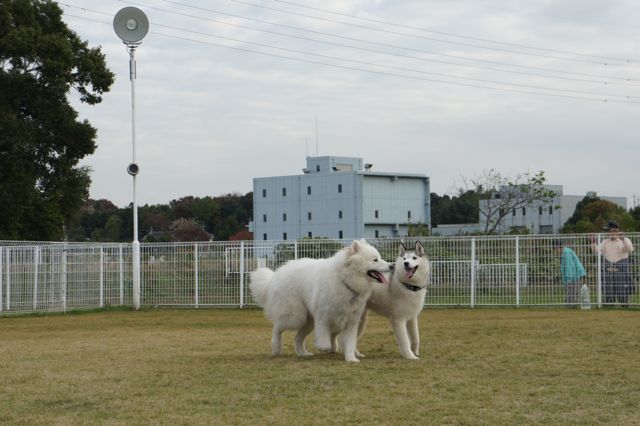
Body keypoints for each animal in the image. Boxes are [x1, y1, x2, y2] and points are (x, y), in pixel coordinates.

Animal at [249, 238, 390, 362]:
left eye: (379, 257)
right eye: (375, 260)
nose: (391, 265)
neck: (344, 279)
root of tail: (274, 277)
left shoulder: (351, 322)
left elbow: (350, 343)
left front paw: (351, 359)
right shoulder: (323, 317)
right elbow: (325, 342)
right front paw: (325, 348)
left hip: (308, 321)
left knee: (297, 338)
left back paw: (303, 354)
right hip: (296, 317)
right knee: (278, 327)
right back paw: (276, 347)